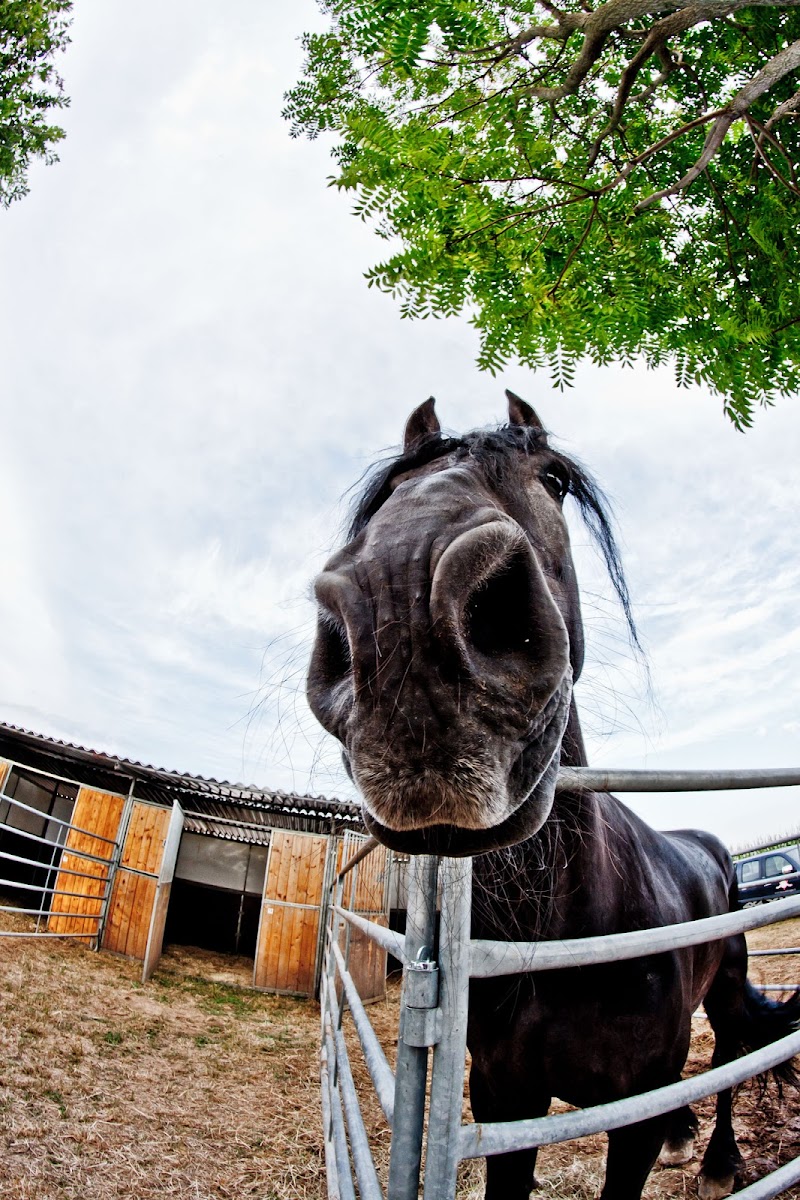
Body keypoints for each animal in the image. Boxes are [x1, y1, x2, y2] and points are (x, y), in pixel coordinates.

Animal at [307, 396, 800, 1200]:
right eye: (390, 489)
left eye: (556, 478)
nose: (400, 612)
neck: (573, 932)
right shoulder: (505, 1103)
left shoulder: (630, 1120)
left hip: (726, 989)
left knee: (729, 1062)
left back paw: (720, 1159)